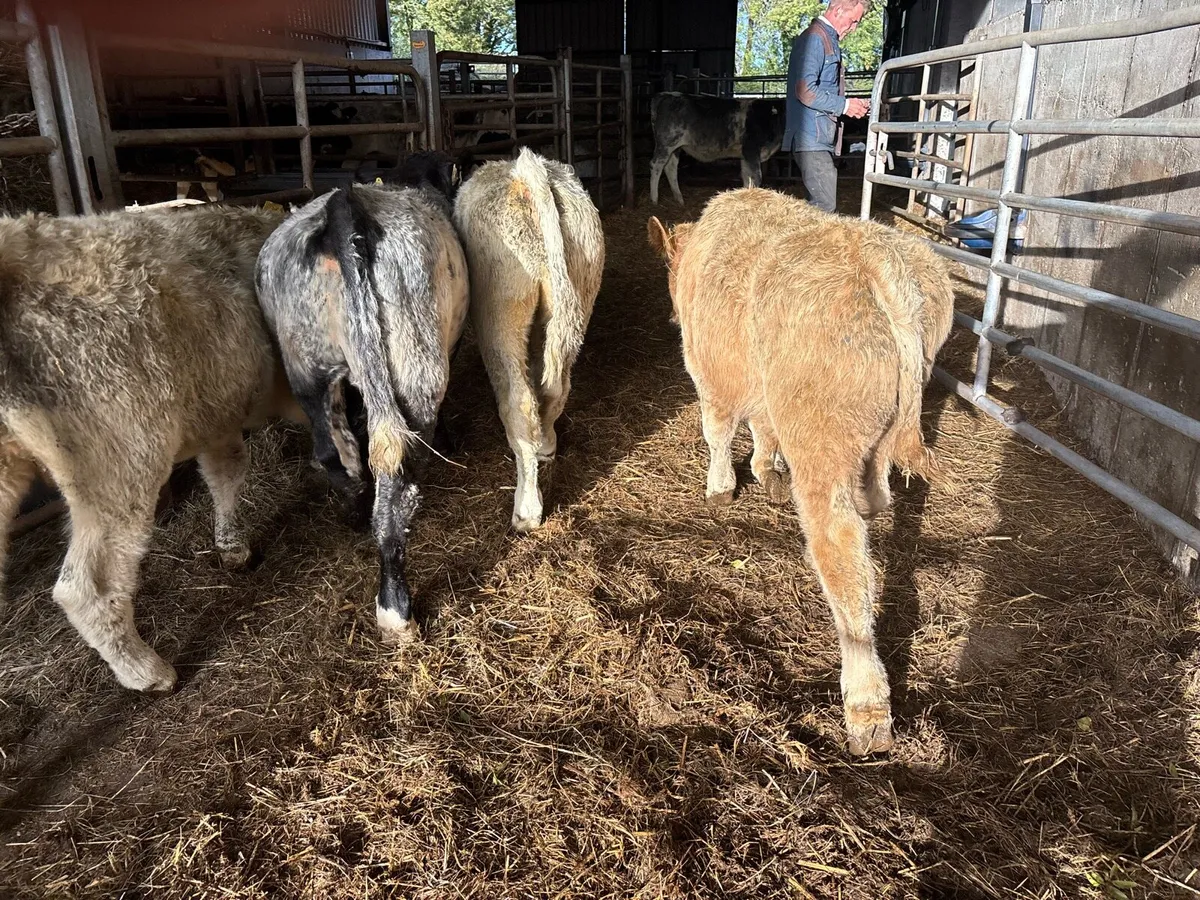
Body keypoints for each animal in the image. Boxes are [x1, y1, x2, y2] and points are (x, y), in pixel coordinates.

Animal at [0, 203, 299, 692]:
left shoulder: (216, 411)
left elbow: (227, 472)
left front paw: (231, 545)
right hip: (120, 457)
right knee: (89, 588)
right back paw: (148, 672)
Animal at [255, 150, 469, 644]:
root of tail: (343, 208)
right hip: (415, 369)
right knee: (396, 486)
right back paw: (395, 610)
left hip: (307, 368)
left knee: (336, 453)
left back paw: (353, 508)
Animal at [452, 147, 604, 532]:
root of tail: (527, 172)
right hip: (574, 302)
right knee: (554, 388)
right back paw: (546, 446)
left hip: (500, 313)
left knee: (520, 403)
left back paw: (526, 510)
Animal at [647, 188, 955, 755]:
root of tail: (871, 255)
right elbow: (763, 430)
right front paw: (765, 471)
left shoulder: (711, 376)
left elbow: (718, 432)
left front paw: (722, 487)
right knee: (874, 500)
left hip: (820, 447)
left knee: (841, 549)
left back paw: (866, 706)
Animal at [649, 92, 786, 205]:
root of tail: (665, 95)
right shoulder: (751, 151)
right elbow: (756, 178)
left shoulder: (745, 156)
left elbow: (747, 178)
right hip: (666, 143)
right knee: (656, 166)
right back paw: (654, 200)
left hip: (676, 147)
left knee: (670, 167)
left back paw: (679, 199)